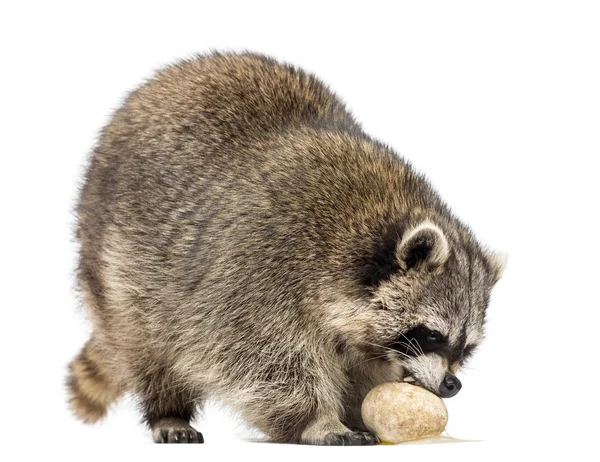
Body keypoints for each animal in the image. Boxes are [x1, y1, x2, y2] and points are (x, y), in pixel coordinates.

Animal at [68, 52, 504, 446]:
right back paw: (168, 410)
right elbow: (259, 356)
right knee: (148, 343)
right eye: (431, 335)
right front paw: (318, 420)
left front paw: (360, 406)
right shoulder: (259, 267)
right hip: (118, 264)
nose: (451, 385)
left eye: (467, 348)